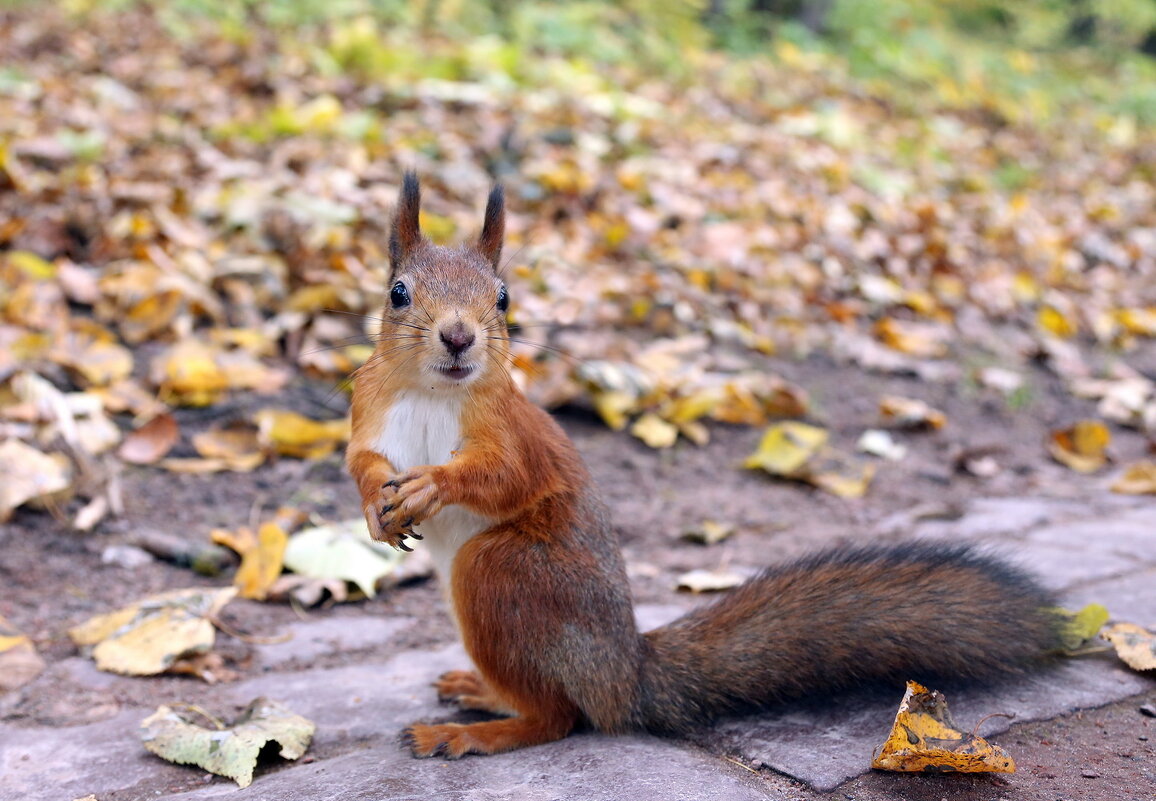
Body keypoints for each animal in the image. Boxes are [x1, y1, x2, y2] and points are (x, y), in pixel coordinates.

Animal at [344, 172, 1063, 758]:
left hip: (504, 572)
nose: (459, 337)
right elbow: (361, 461)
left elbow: (503, 477)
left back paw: (474, 731)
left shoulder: (516, 435)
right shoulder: (367, 412)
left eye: (503, 298)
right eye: (398, 292)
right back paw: (481, 692)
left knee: (558, 716)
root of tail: (623, 676)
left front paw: (433, 484)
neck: (433, 393)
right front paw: (377, 507)